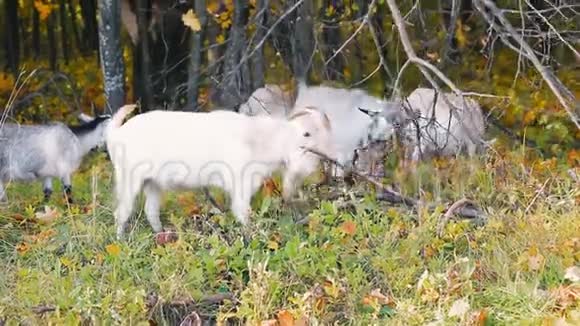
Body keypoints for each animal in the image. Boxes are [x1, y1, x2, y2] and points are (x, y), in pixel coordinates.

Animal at [106, 105, 338, 238]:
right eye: (307, 133)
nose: (328, 159)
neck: (258, 139)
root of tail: (116, 134)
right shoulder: (240, 184)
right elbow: (242, 213)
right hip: (129, 179)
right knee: (122, 213)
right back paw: (121, 242)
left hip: (153, 183)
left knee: (150, 211)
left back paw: (162, 236)